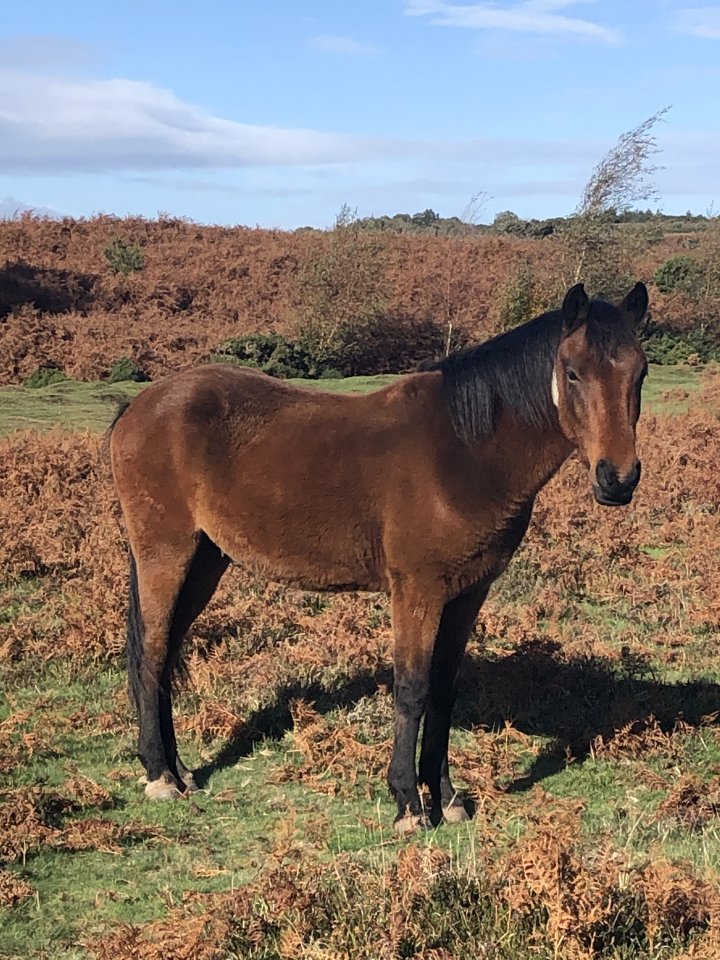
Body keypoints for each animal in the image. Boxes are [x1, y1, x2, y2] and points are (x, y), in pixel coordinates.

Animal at [109, 281, 649, 833]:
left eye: (640, 372)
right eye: (573, 372)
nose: (617, 479)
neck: (463, 451)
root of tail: (138, 406)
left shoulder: (468, 594)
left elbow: (443, 689)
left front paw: (446, 798)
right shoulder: (418, 591)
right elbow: (412, 689)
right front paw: (408, 803)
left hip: (205, 561)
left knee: (167, 654)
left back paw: (181, 771)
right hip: (165, 556)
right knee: (152, 653)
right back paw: (159, 775)